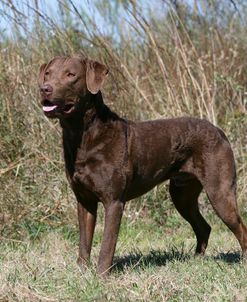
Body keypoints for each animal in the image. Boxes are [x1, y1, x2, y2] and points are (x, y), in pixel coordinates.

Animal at [38, 55, 247, 274]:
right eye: (48, 73)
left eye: (71, 75)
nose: (45, 88)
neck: (82, 135)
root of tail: (219, 131)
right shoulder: (84, 200)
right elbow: (84, 241)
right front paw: (81, 271)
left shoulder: (114, 201)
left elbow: (107, 245)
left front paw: (101, 276)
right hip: (182, 194)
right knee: (204, 226)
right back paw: (195, 260)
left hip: (219, 191)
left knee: (240, 228)